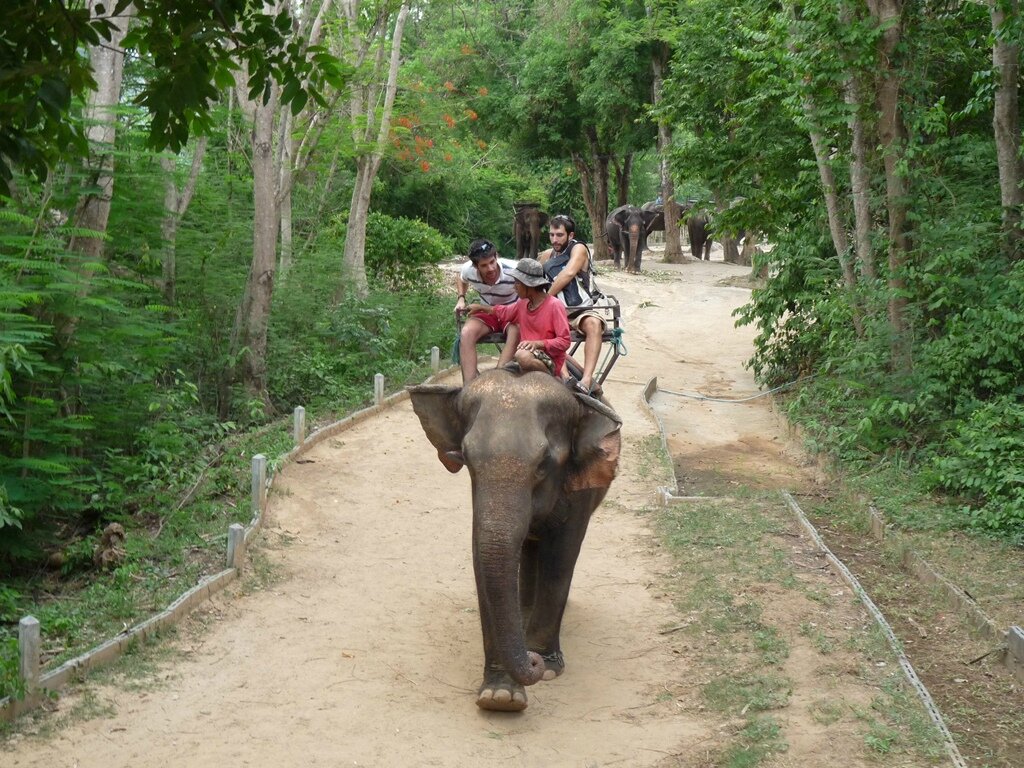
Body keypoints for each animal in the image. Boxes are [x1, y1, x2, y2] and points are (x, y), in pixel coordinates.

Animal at [405, 370, 614, 712]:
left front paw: (547, 667)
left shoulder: (579, 490)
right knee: (528, 547)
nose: (530, 660)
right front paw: (501, 697)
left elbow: (561, 557)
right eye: (466, 459)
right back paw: (523, 610)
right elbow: (482, 555)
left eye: (543, 463)